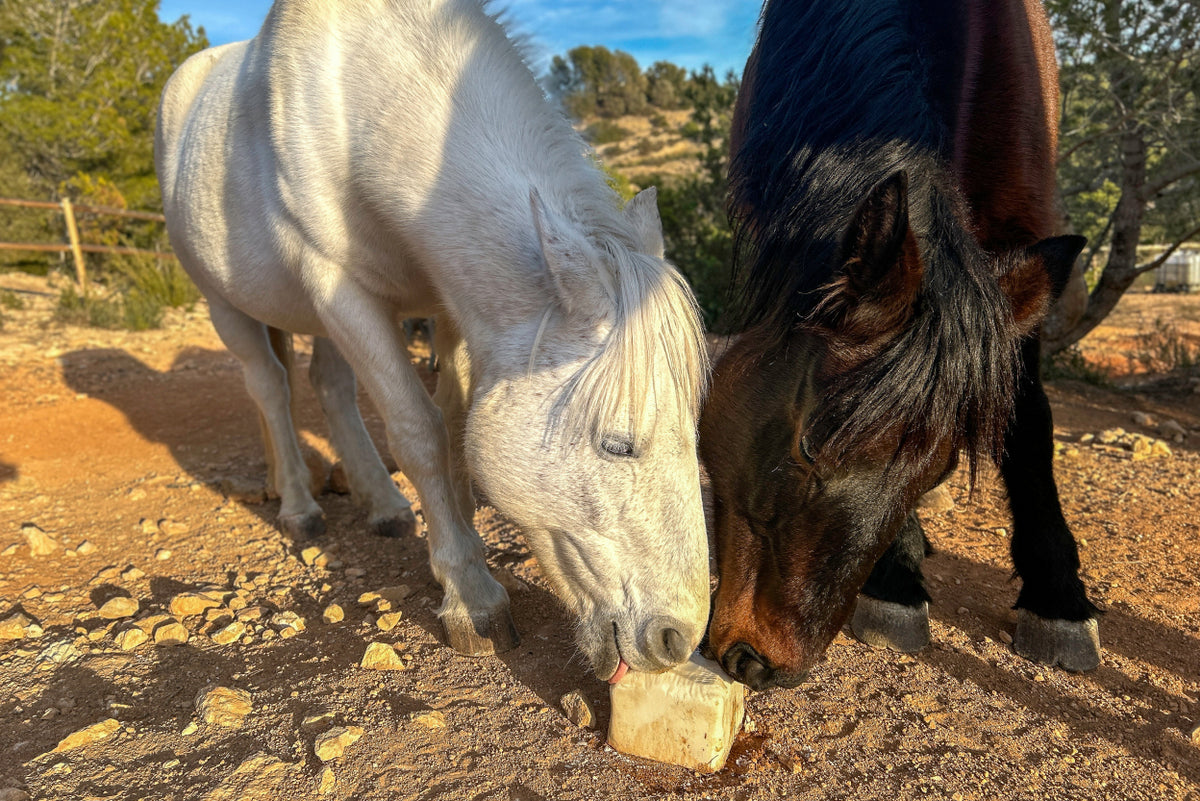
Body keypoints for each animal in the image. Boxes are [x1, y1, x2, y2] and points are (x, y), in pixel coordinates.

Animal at [153, 0, 705, 681]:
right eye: (618, 445)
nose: (678, 639)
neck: (358, 107)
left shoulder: (451, 304)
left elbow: (458, 423)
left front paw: (464, 540)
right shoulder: (343, 291)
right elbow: (420, 432)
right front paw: (471, 594)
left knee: (329, 388)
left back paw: (384, 505)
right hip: (227, 305)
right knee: (271, 390)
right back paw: (299, 506)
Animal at [700, 0, 1099, 690]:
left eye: (939, 468)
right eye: (807, 447)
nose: (761, 661)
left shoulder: (1021, 228)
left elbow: (1029, 419)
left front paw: (1057, 598)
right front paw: (896, 580)